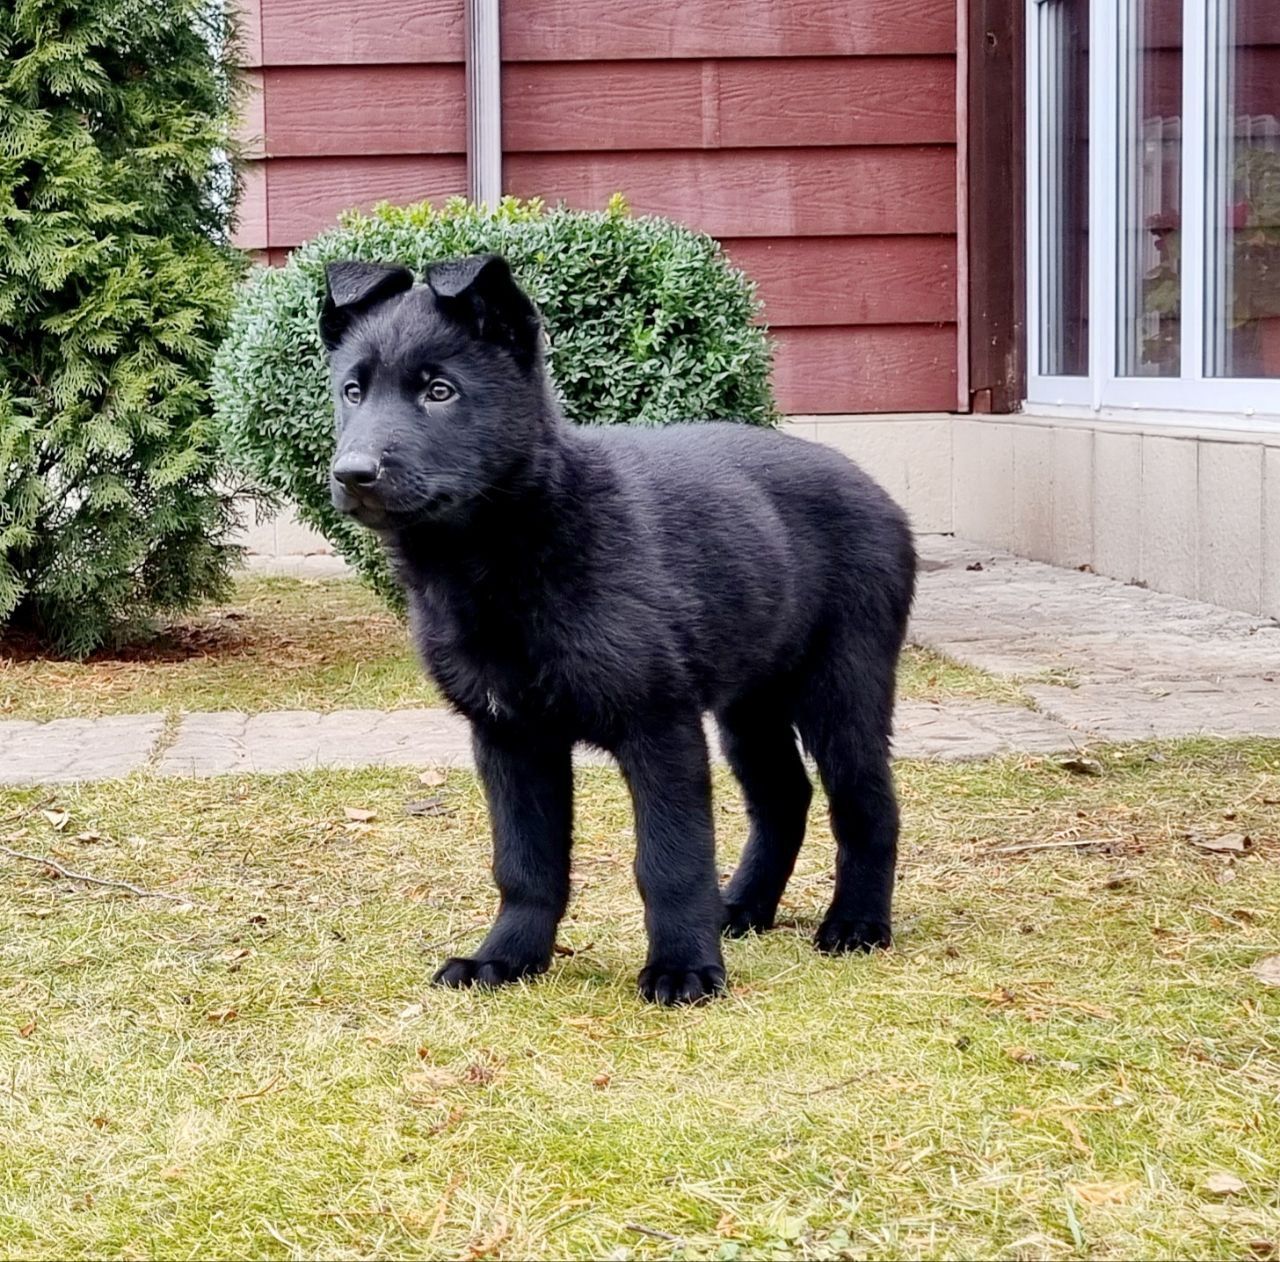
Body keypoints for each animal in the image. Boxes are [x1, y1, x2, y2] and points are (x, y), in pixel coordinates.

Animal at [325, 253, 916, 1003]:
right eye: (352, 390)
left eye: (439, 391)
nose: (353, 473)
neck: (511, 550)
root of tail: (875, 490)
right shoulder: (510, 738)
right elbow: (525, 864)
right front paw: (506, 959)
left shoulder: (658, 727)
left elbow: (670, 860)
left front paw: (684, 968)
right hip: (749, 704)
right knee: (784, 798)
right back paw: (742, 907)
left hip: (843, 687)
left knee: (866, 803)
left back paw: (857, 924)